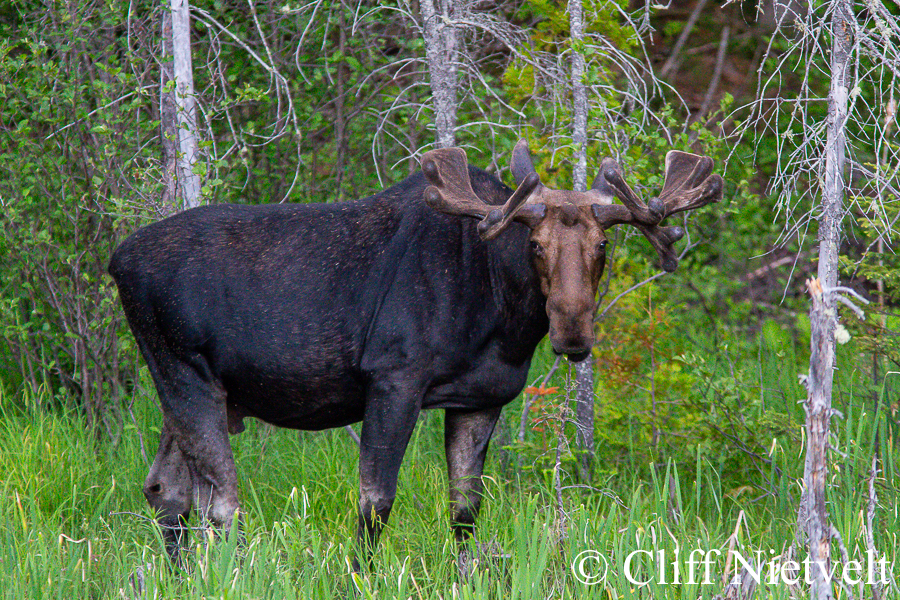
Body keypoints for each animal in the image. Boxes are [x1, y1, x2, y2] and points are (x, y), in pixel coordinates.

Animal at [108, 140, 722, 570]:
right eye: (535, 245)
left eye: (602, 244)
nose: (573, 331)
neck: (500, 319)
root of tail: (116, 260)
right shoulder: (393, 381)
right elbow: (375, 501)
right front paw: (360, 575)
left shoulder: (481, 398)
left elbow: (465, 508)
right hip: (184, 373)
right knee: (220, 502)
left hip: (189, 389)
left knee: (165, 490)